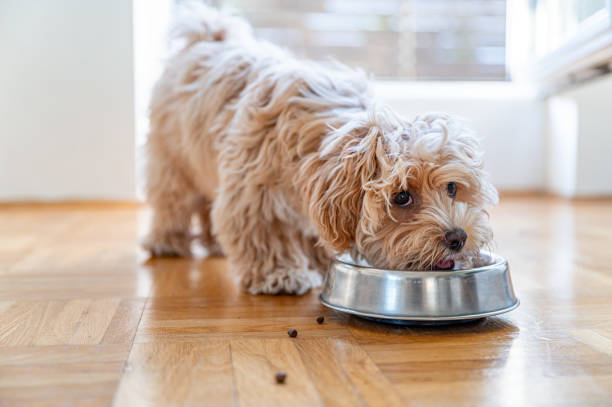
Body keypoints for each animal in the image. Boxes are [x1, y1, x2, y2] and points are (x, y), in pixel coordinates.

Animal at [143, 4, 498, 294]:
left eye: (451, 188)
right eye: (401, 197)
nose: (457, 237)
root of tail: (208, 37)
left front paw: (315, 260)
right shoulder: (253, 192)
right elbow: (263, 231)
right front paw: (280, 274)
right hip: (171, 157)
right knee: (172, 199)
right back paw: (167, 240)